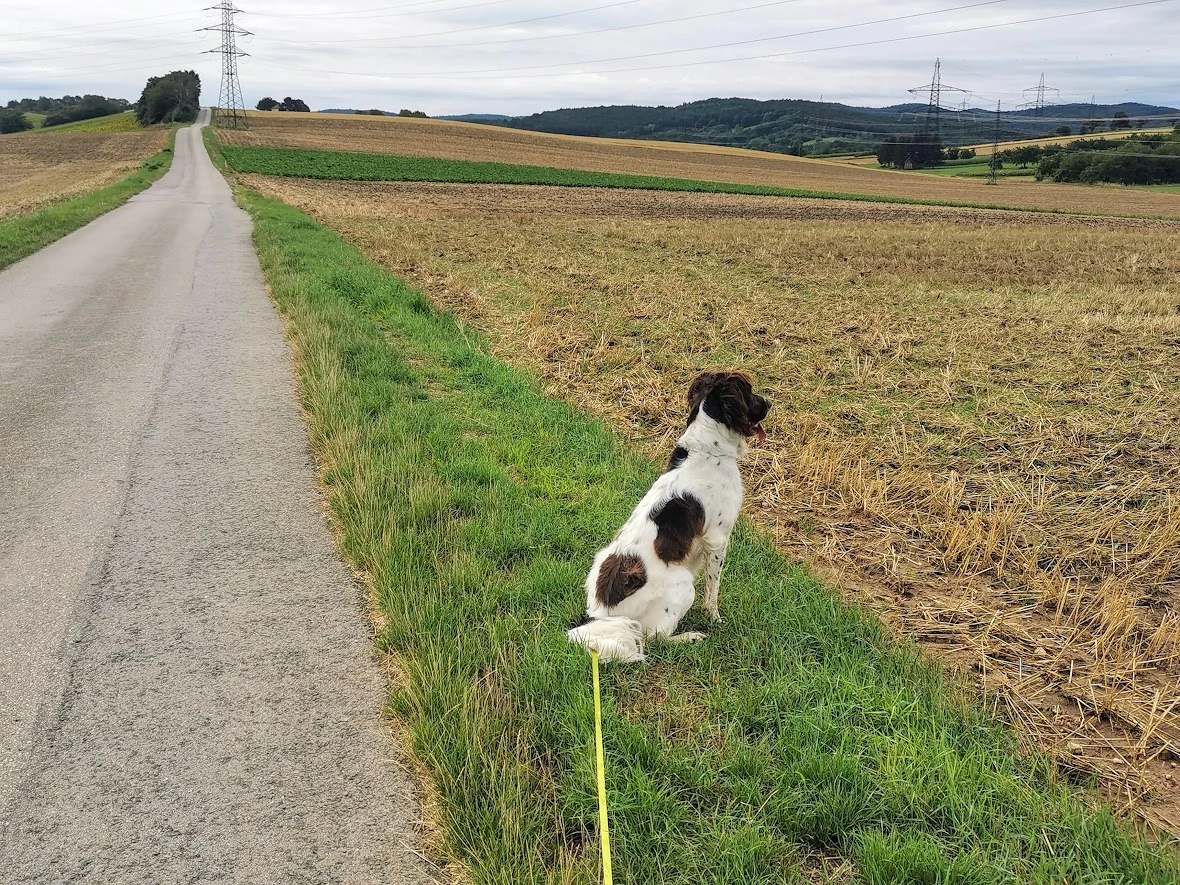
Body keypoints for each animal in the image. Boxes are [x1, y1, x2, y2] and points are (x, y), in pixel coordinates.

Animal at [567, 371, 770, 663]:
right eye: (750, 392)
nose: (769, 403)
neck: (707, 450)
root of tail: (606, 617)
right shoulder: (718, 539)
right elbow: (713, 589)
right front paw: (714, 618)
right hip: (683, 584)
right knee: (656, 639)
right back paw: (690, 637)